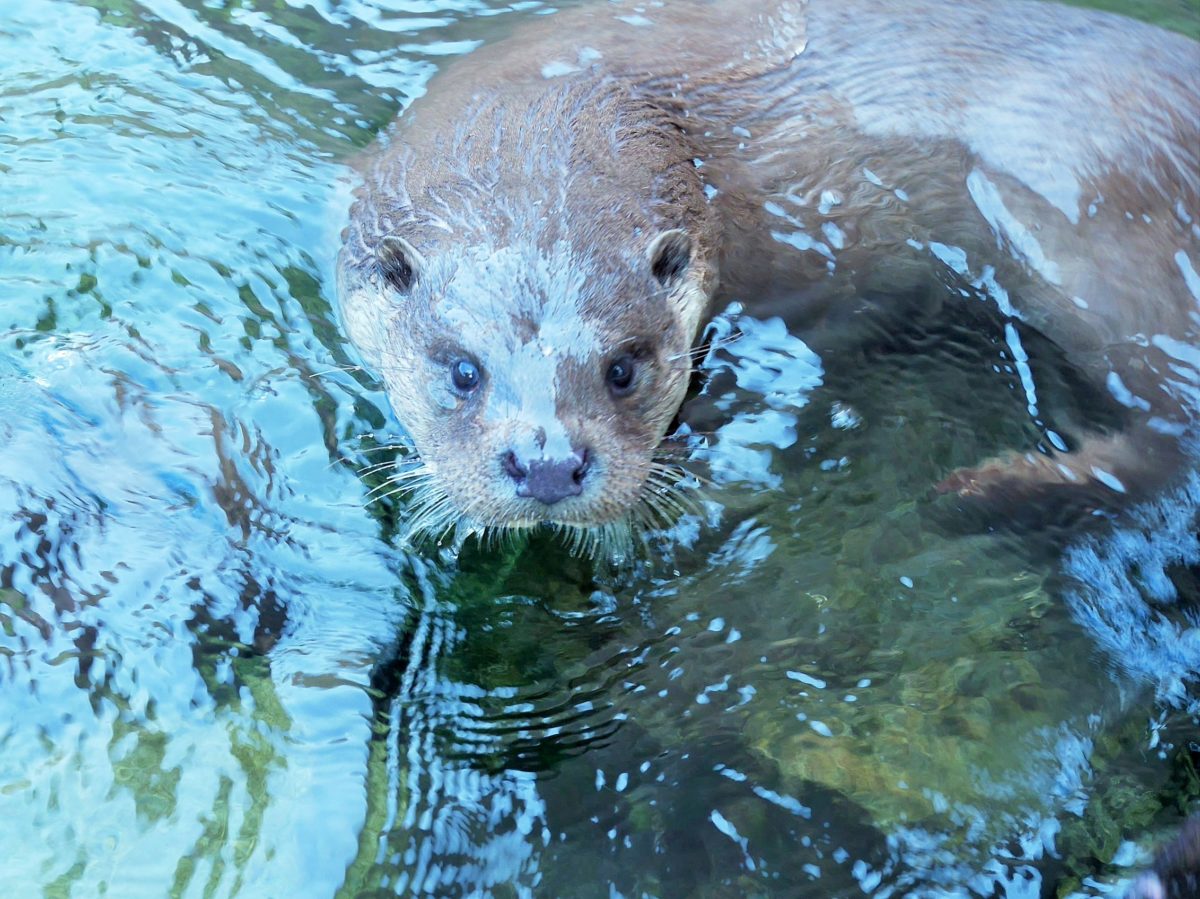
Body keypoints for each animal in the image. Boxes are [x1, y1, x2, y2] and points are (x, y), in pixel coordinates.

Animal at [336, 0, 1200, 549]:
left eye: (622, 369)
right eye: (462, 371)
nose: (547, 464)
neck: (561, 104)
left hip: (1103, 254)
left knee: (1173, 432)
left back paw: (985, 494)